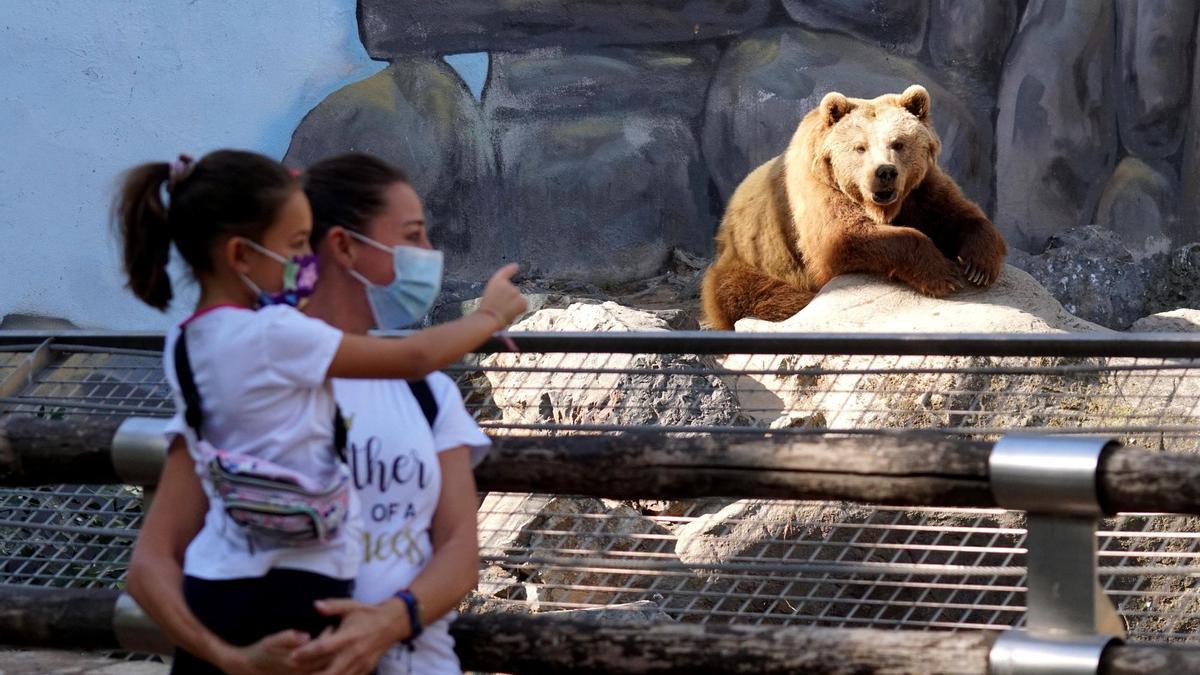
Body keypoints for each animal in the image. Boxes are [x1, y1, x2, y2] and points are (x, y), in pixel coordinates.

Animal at [700, 84, 1008, 329]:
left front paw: (979, 266)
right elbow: (841, 237)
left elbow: (958, 215)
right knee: (755, 294)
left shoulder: (921, 190)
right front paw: (943, 274)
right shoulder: (817, 189)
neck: (882, 207)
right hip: (752, 261)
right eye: (860, 147)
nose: (885, 172)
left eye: (898, 143)